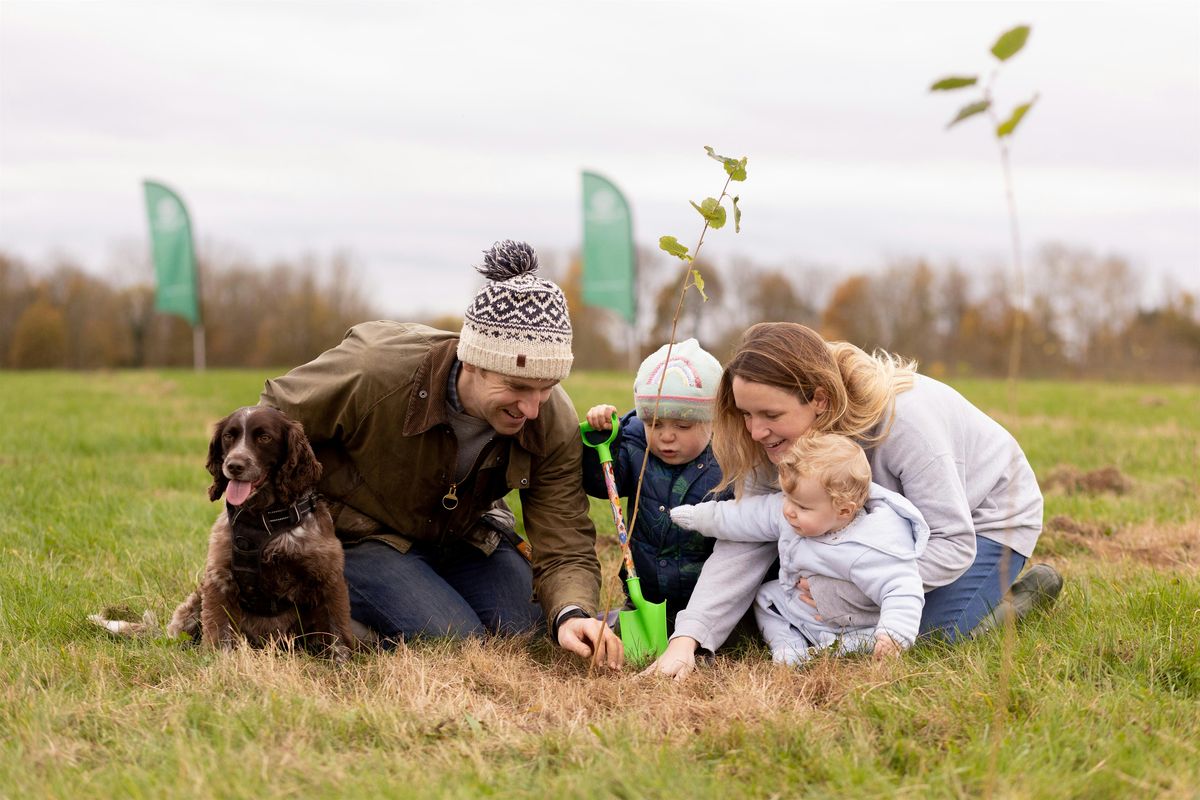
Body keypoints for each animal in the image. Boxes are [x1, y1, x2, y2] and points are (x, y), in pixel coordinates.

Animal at [169, 407, 355, 662]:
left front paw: (342, 665)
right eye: (229, 436)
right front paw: (221, 663)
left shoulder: (327, 576)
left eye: (264, 437)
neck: (264, 517)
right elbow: (219, 629)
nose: (234, 465)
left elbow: (337, 629)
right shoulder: (220, 577)